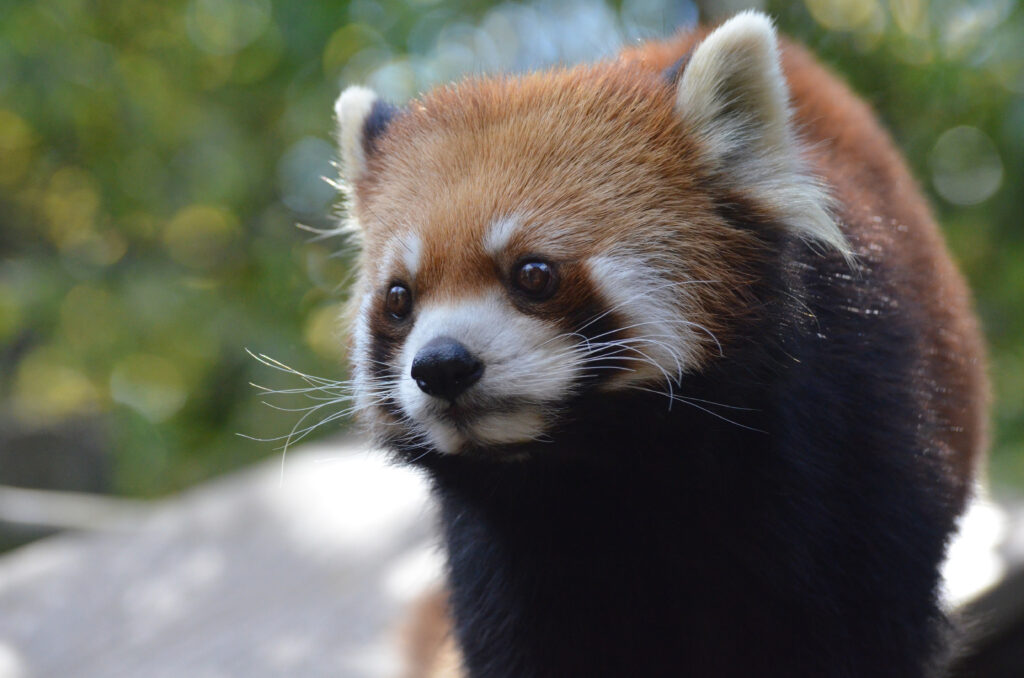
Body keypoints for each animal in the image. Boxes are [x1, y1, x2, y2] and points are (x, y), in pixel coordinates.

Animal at [333, 10, 983, 678]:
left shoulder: (855, 456)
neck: (617, 470)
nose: (441, 366)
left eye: (533, 274)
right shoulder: (503, 560)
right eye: (400, 298)